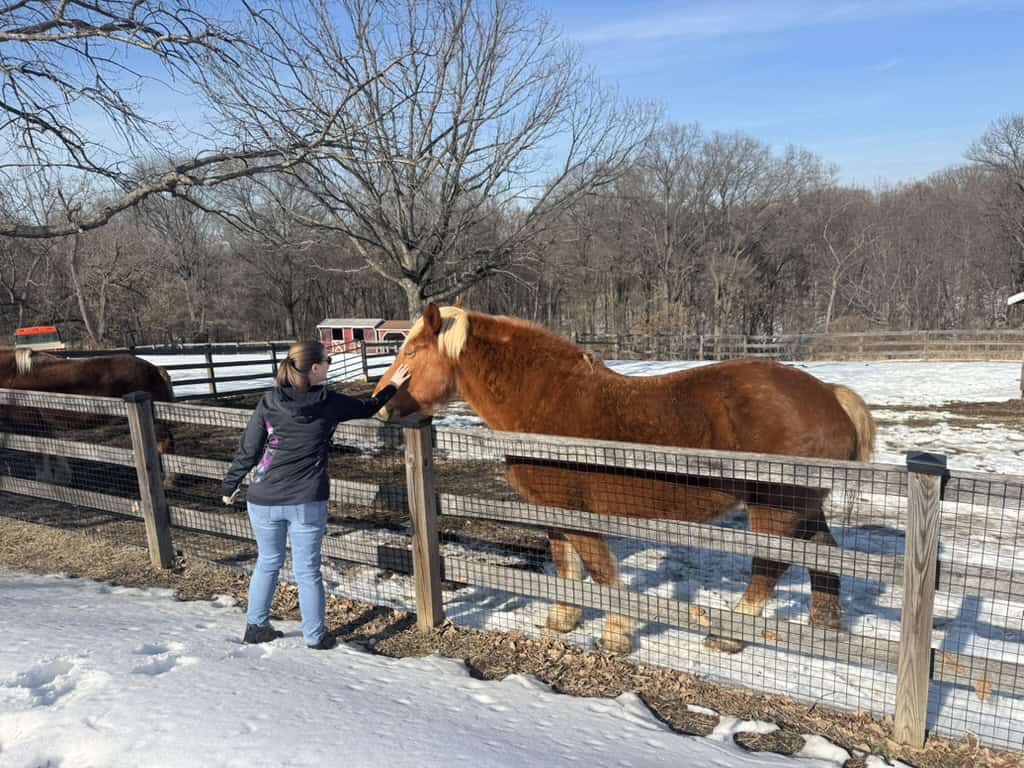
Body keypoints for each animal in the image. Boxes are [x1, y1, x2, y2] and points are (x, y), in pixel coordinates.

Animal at [0, 348, 176, 485]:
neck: (12, 376)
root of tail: (155, 369)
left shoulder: (28, 425)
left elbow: (37, 454)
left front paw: (44, 481)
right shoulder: (44, 426)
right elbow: (54, 449)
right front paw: (62, 478)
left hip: (157, 423)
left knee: (166, 444)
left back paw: (168, 481)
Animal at [372, 303, 876, 655]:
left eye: (411, 352)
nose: (382, 404)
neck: (545, 403)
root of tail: (829, 395)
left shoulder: (577, 511)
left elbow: (599, 570)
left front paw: (616, 634)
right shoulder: (552, 509)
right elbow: (565, 567)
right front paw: (563, 617)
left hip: (775, 508)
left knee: (769, 568)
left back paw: (730, 635)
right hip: (803, 508)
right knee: (824, 556)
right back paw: (824, 627)